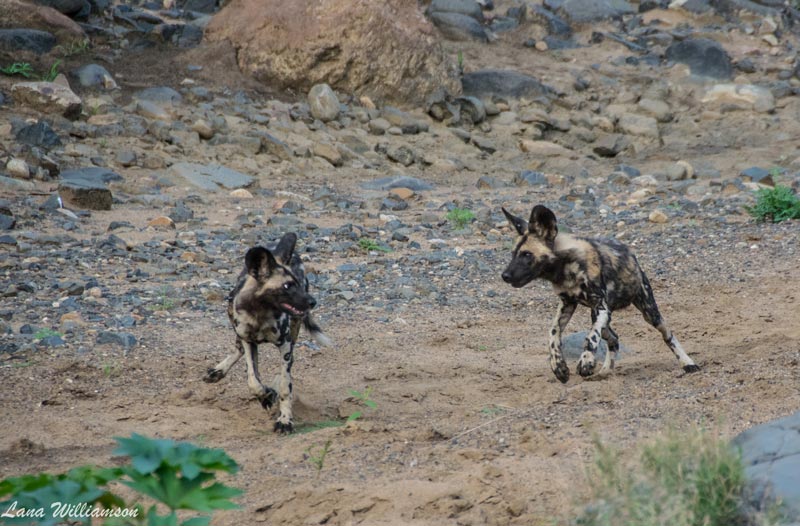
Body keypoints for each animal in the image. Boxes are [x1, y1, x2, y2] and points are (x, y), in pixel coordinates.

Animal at [206, 233, 334, 436]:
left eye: (298, 284)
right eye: (287, 286)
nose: (313, 301)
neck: (261, 313)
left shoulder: (285, 346)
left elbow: (285, 386)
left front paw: (285, 420)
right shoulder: (249, 342)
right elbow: (253, 380)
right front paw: (266, 396)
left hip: (294, 331)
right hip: (235, 323)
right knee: (238, 348)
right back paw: (218, 371)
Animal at [500, 205, 700, 384]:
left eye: (527, 254)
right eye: (513, 254)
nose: (505, 275)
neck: (564, 269)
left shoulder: (601, 307)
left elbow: (591, 337)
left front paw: (586, 362)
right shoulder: (568, 304)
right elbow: (553, 333)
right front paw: (558, 366)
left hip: (649, 312)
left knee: (667, 335)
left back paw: (688, 363)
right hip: (599, 316)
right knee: (614, 339)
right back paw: (604, 372)